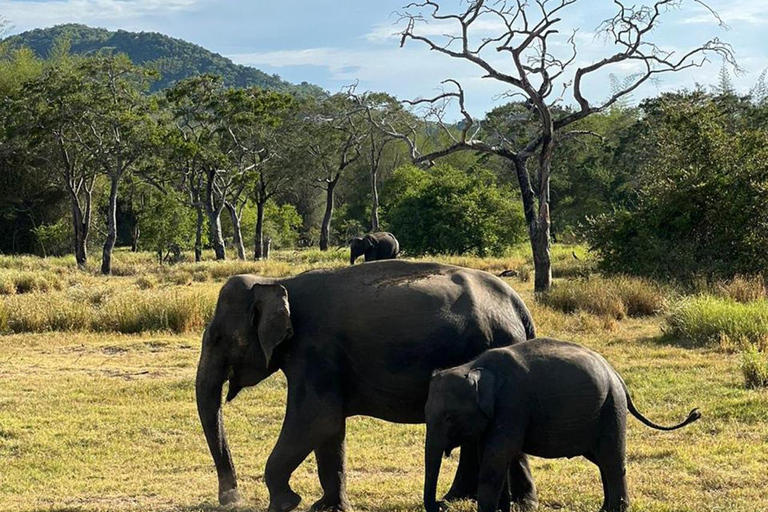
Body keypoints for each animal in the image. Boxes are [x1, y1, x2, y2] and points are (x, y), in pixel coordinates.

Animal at [196, 262, 536, 510]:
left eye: (216, 337)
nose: (231, 499)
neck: (278, 282)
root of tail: (518, 305)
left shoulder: (314, 351)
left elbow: (317, 418)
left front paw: (286, 503)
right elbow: (330, 428)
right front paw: (328, 507)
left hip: (493, 346)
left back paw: (508, 503)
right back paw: (464, 499)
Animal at [424, 336, 700, 512]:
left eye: (449, 417)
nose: (440, 505)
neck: (474, 366)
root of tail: (617, 377)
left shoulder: (513, 404)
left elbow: (498, 454)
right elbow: (491, 456)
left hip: (612, 408)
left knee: (611, 460)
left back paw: (616, 510)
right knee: (601, 460)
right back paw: (604, 510)